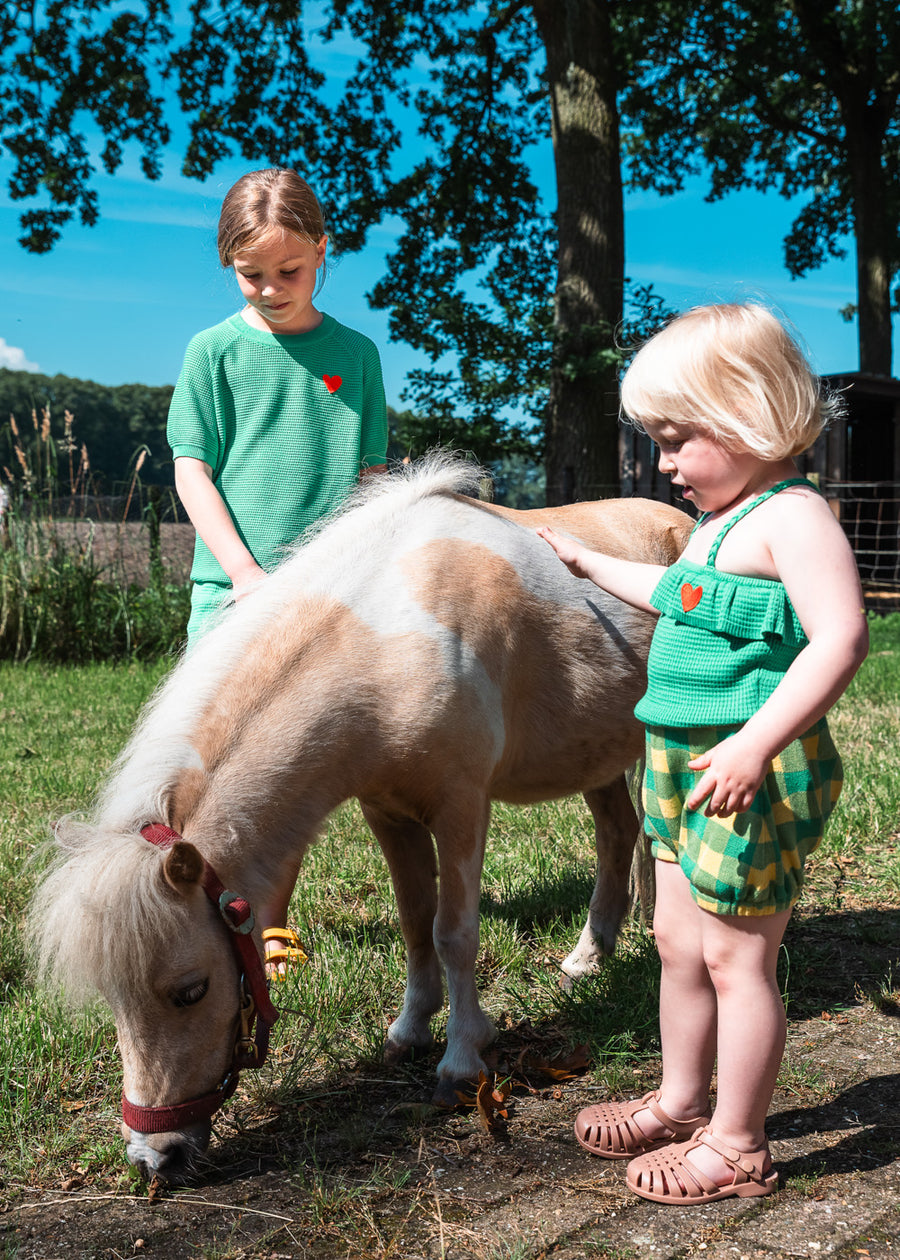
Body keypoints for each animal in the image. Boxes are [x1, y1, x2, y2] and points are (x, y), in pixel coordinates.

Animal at [28, 456, 685, 1179]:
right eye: (114, 999)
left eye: (191, 990)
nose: (155, 1157)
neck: (389, 637)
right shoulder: (388, 812)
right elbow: (415, 923)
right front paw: (409, 1031)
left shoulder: (461, 806)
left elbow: (454, 933)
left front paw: (461, 1059)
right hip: (597, 756)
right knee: (619, 834)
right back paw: (590, 956)